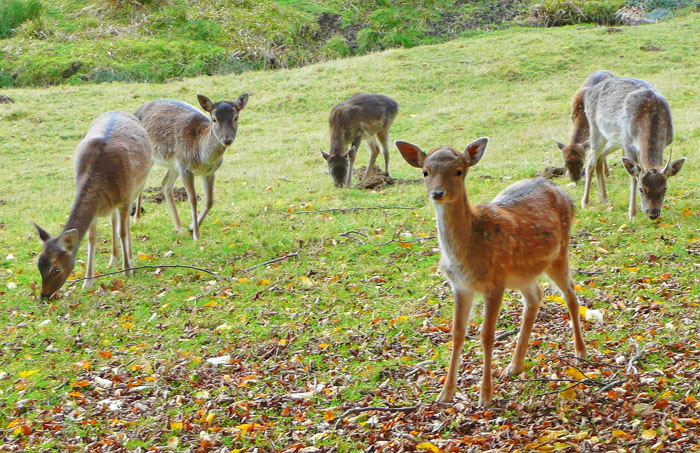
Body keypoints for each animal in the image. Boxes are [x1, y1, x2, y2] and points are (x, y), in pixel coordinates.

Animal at [33, 111, 153, 298]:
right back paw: (113, 258)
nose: (44, 296)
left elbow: (123, 232)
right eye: (39, 265)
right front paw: (88, 282)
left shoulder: (126, 198)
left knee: (124, 224)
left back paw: (130, 257)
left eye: (56, 270)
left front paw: (128, 271)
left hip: (138, 186)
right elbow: (91, 239)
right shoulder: (95, 211)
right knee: (113, 221)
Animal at [134, 92, 249, 240]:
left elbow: (210, 201)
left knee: (165, 184)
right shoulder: (186, 169)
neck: (202, 157)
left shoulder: (209, 172)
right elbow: (193, 199)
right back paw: (137, 218)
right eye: (214, 119)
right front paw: (196, 234)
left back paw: (179, 227)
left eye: (236, 117)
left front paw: (191, 227)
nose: (227, 139)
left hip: (173, 165)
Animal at [394, 137, 584, 406]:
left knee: (571, 295)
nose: (438, 193)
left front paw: (485, 396)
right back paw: (514, 366)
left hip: (559, 253)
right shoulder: (460, 285)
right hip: (523, 273)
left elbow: (486, 334)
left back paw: (580, 353)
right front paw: (445, 393)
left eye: (459, 171)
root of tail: (565, 194)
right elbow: (457, 333)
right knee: (536, 296)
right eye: (425, 172)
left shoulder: (495, 282)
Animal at [584, 76, 688, 219]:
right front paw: (632, 214)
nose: (653, 213)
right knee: (590, 160)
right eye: (641, 189)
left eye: (665, 188)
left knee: (600, 157)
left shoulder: (667, 142)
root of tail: (588, 93)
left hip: (615, 139)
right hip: (595, 127)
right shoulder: (628, 143)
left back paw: (604, 198)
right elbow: (633, 177)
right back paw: (585, 203)